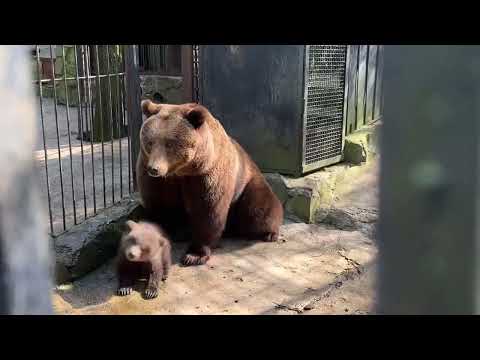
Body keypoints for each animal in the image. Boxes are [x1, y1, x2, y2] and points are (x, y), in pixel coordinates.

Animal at [137, 100, 284, 266]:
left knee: (259, 211)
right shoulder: (158, 180)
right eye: (150, 142)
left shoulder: (206, 174)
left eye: (169, 144)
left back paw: (269, 233)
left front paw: (194, 255)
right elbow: (160, 205)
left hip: (248, 185)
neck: (182, 171)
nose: (154, 168)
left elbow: (208, 210)